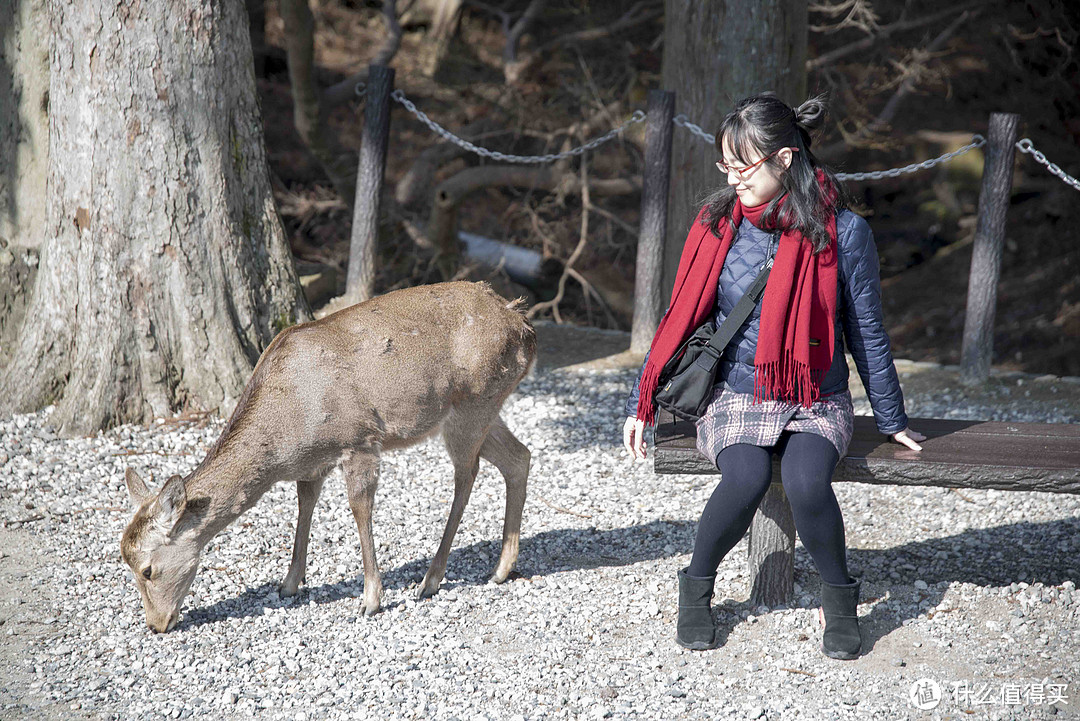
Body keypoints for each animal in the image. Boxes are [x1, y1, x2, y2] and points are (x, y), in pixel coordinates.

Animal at [121, 280, 535, 630]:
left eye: (147, 569)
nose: (156, 625)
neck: (286, 439)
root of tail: (522, 324)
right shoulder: (313, 464)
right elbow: (304, 506)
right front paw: (289, 583)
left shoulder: (360, 440)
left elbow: (359, 508)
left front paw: (370, 599)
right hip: (485, 410)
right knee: (520, 457)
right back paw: (502, 568)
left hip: (472, 403)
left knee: (467, 474)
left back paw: (432, 578)